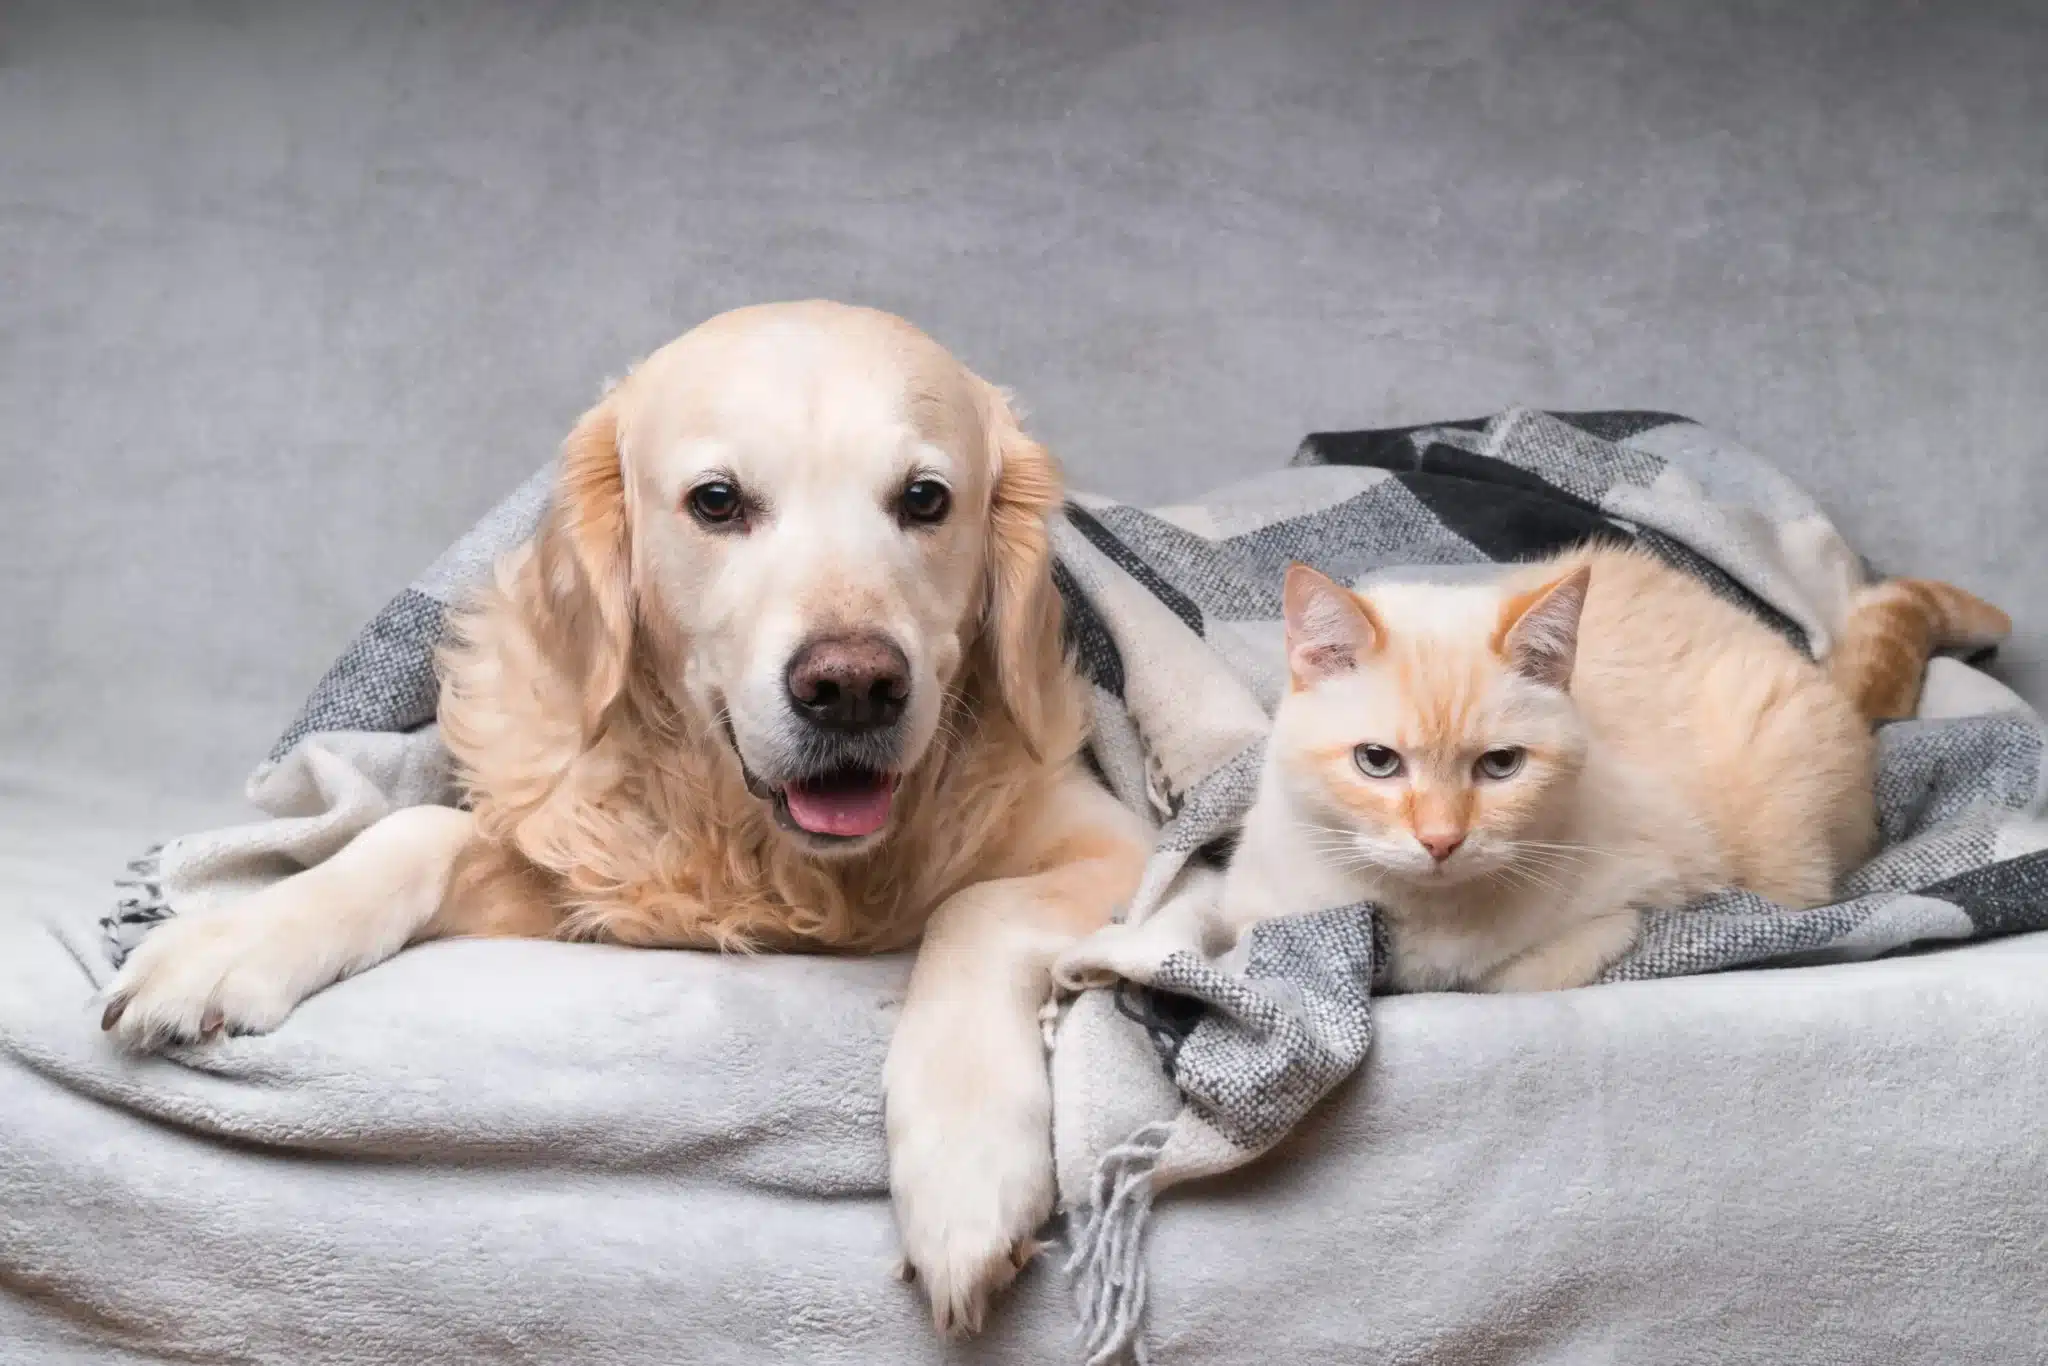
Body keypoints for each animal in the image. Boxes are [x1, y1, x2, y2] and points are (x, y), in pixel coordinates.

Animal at [99, 299, 1155, 1335]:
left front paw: (966, 1167)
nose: (853, 688)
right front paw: (237, 937)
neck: (758, 842)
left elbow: (973, 909)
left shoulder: (1132, 852)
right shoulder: (592, 879)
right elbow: (413, 832)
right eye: (718, 501)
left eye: (926, 499)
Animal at [1212, 544, 2015, 995]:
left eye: (1500, 765)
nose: (1441, 841)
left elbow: (1508, 979)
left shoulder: (1630, 900)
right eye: (1377, 762)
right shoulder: (1254, 911)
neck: (1422, 915)